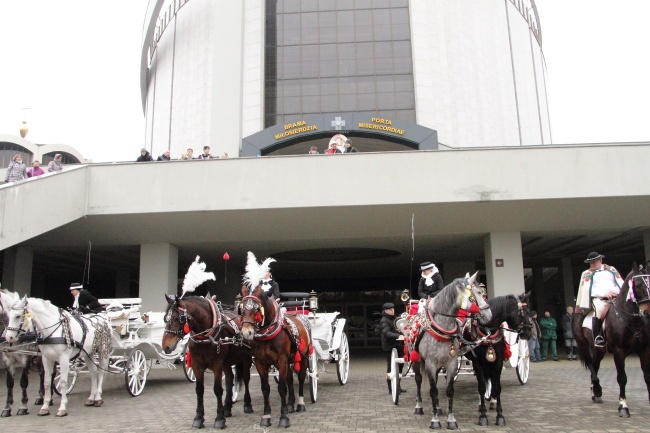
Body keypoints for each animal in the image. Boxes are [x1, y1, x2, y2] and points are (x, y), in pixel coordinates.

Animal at [0, 288, 48, 416]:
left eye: (18, 316)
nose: (10, 338)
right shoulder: (7, 360)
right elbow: (9, 383)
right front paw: (7, 408)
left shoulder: (25, 359)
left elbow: (23, 382)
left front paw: (23, 406)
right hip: (38, 358)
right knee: (42, 373)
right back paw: (40, 397)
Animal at [162, 294, 253, 428]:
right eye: (165, 318)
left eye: (177, 319)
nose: (166, 346)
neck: (206, 336)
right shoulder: (197, 365)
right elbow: (199, 390)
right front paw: (199, 417)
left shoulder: (217, 365)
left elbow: (218, 389)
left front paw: (219, 418)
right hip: (227, 362)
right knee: (230, 379)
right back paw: (227, 408)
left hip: (246, 359)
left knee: (246, 379)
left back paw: (247, 404)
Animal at [239, 251, 310, 426]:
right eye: (241, 309)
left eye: (257, 309)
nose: (246, 332)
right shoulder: (260, 362)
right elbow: (266, 388)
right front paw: (266, 416)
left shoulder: (281, 360)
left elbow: (282, 388)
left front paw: (283, 417)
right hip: (291, 358)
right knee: (291, 378)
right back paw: (291, 403)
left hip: (303, 356)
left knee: (300, 376)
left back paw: (300, 403)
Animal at [464, 290, 528, 426]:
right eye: (524, 311)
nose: (528, 331)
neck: (488, 330)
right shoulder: (477, 362)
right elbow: (481, 387)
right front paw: (483, 416)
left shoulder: (498, 362)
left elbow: (497, 387)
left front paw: (500, 416)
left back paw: (491, 401)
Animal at [572, 260, 648, 416]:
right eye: (638, 284)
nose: (647, 311)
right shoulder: (619, 352)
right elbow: (622, 378)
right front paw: (623, 406)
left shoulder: (644, 350)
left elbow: (647, 376)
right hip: (583, 345)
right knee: (591, 364)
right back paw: (597, 389)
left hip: (599, 349)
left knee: (595, 365)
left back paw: (595, 392)